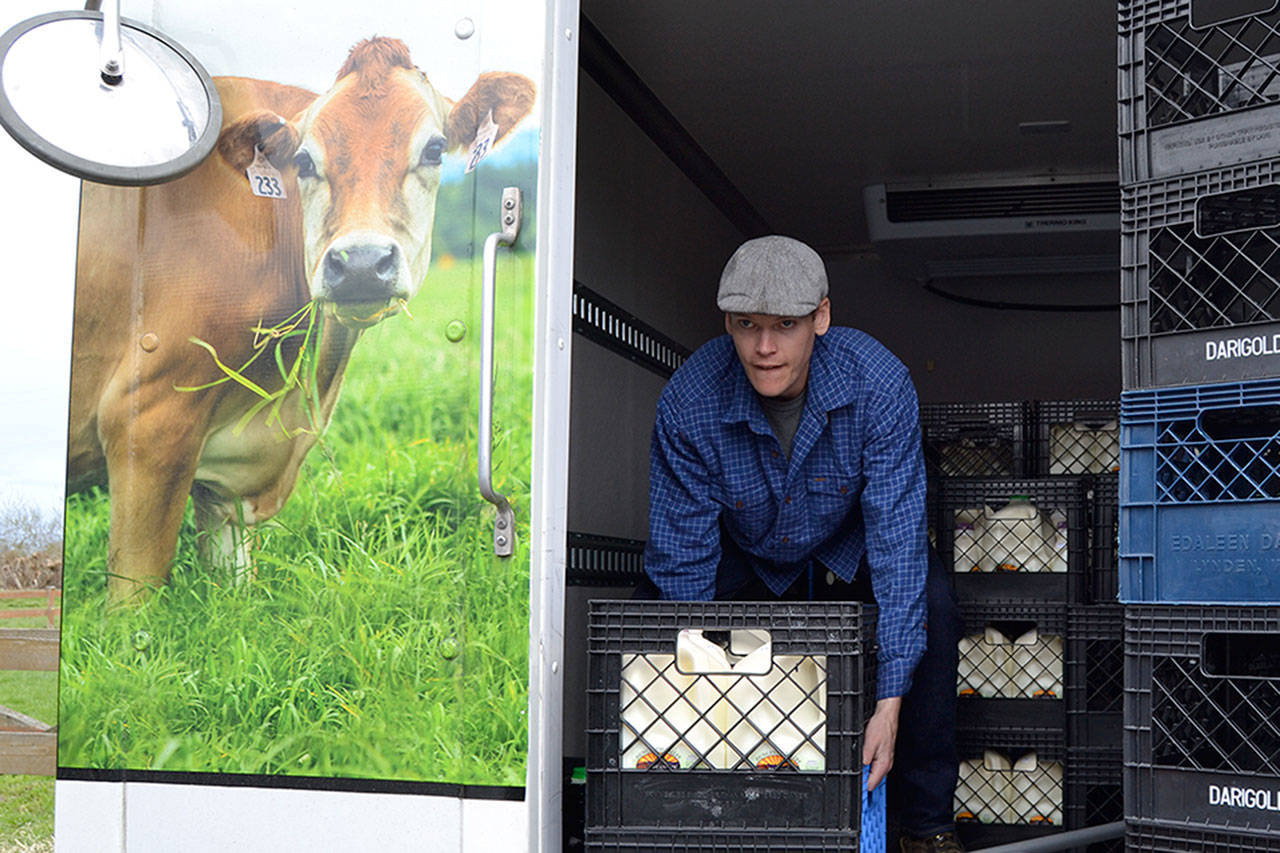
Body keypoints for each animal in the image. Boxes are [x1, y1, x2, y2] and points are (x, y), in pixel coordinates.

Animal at [66, 38, 535, 596]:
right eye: (305, 160)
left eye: (435, 149)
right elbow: (135, 598)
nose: (360, 262)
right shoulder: (146, 420)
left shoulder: (224, 479)